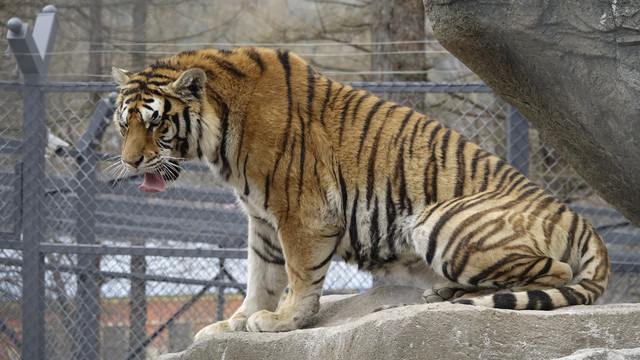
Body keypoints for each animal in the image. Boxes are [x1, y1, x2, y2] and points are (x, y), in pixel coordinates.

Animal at [111, 47, 608, 338]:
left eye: (155, 122)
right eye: (123, 124)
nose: (131, 162)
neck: (219, 132)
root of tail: (579, 219)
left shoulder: (301, 212)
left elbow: (298, 274)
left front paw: (283, 321)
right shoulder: (261, 218)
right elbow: (260, 274)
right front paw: (232, 323)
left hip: (440, 223)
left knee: (558, 271)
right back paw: (441, 293)